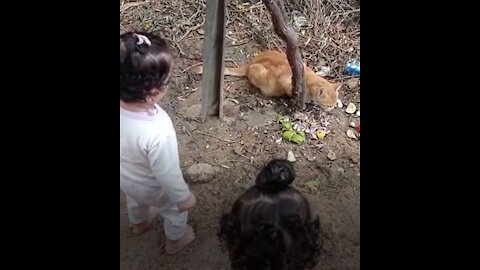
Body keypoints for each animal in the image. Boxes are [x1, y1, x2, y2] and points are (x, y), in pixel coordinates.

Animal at [191, 50, 342, 110]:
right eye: (329, 105)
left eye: (333, 104)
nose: (331, 109)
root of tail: (250, 63)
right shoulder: (288, 82)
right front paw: (302, 103)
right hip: (259, 73)